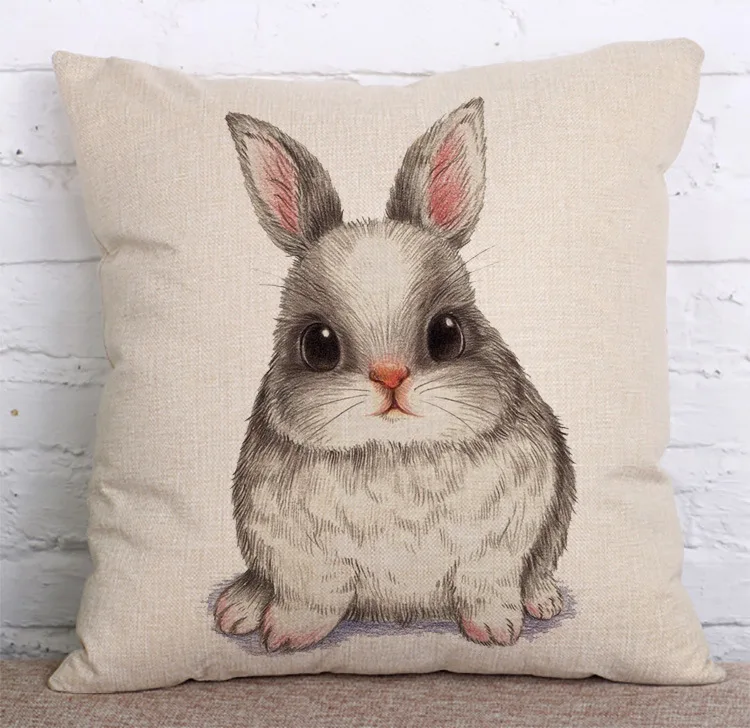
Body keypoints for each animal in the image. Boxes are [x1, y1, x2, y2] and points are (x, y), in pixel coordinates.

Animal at [215, 98, 575, 652]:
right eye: (317, 344)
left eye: (447, 334)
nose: (390, 377)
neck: (395, 451)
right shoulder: (298, 552)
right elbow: (311, 595)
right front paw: (288, 637)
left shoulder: (497, 545)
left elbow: (484, 587)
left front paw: (495, 631)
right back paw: (238, 608)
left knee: (534, 571)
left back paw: (542, 600)